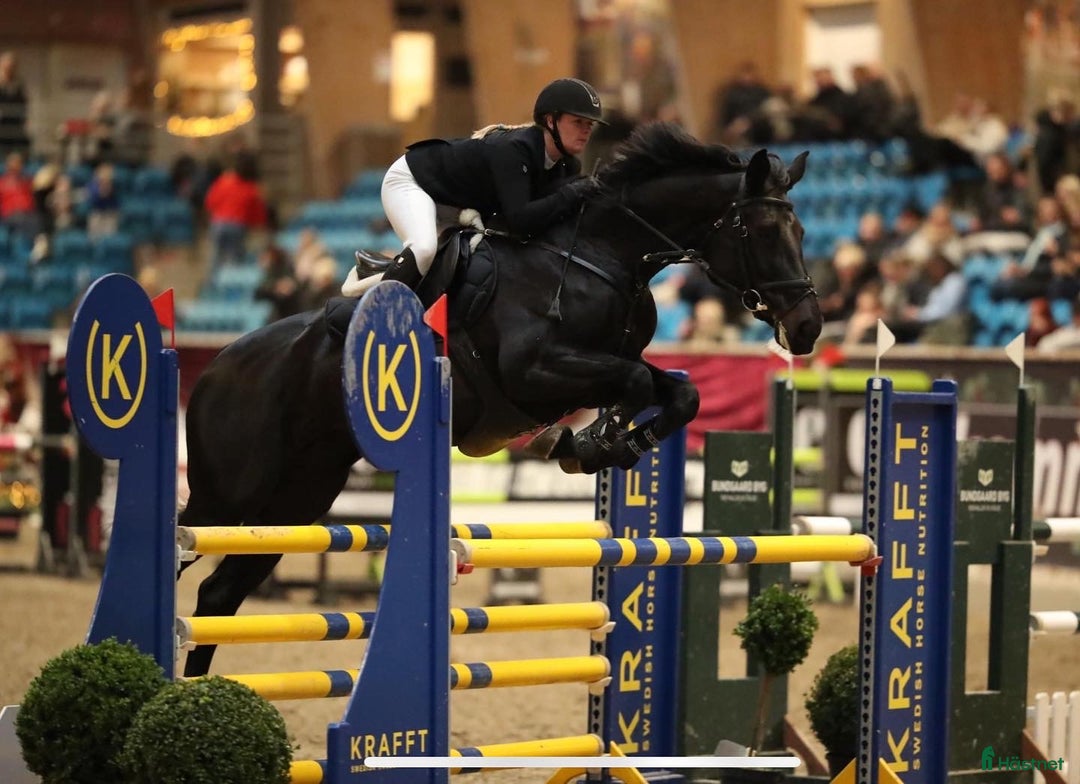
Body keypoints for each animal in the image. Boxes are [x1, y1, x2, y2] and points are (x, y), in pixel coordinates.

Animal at [178, 122, 822, 676]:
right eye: (764, 232)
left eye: (803, 234)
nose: (809, 328)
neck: (601, 254)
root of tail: (214, 367)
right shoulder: (534, 373)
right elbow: (635, 386)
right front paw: (591, 443)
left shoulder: (609, 363)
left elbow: (679, 393)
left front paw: (605, 442)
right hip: (230, 494)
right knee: (186, 550)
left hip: (300, 497)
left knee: (219, 591)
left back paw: (197, 694)